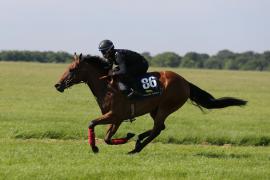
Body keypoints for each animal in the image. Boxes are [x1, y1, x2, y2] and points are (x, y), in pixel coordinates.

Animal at [54, 53, 247, 153]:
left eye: (72, 69)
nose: (57, 85)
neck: (107, 86)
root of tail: (185, 82)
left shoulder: (115, 115)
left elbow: (92, 123)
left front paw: (95, 147)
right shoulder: (115, 118)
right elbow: (108, 138)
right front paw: (128, 136)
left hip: (166, 107)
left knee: (157, 129)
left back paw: (137, 148)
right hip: (155, 109)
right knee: (159, 127)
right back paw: (138, 140)